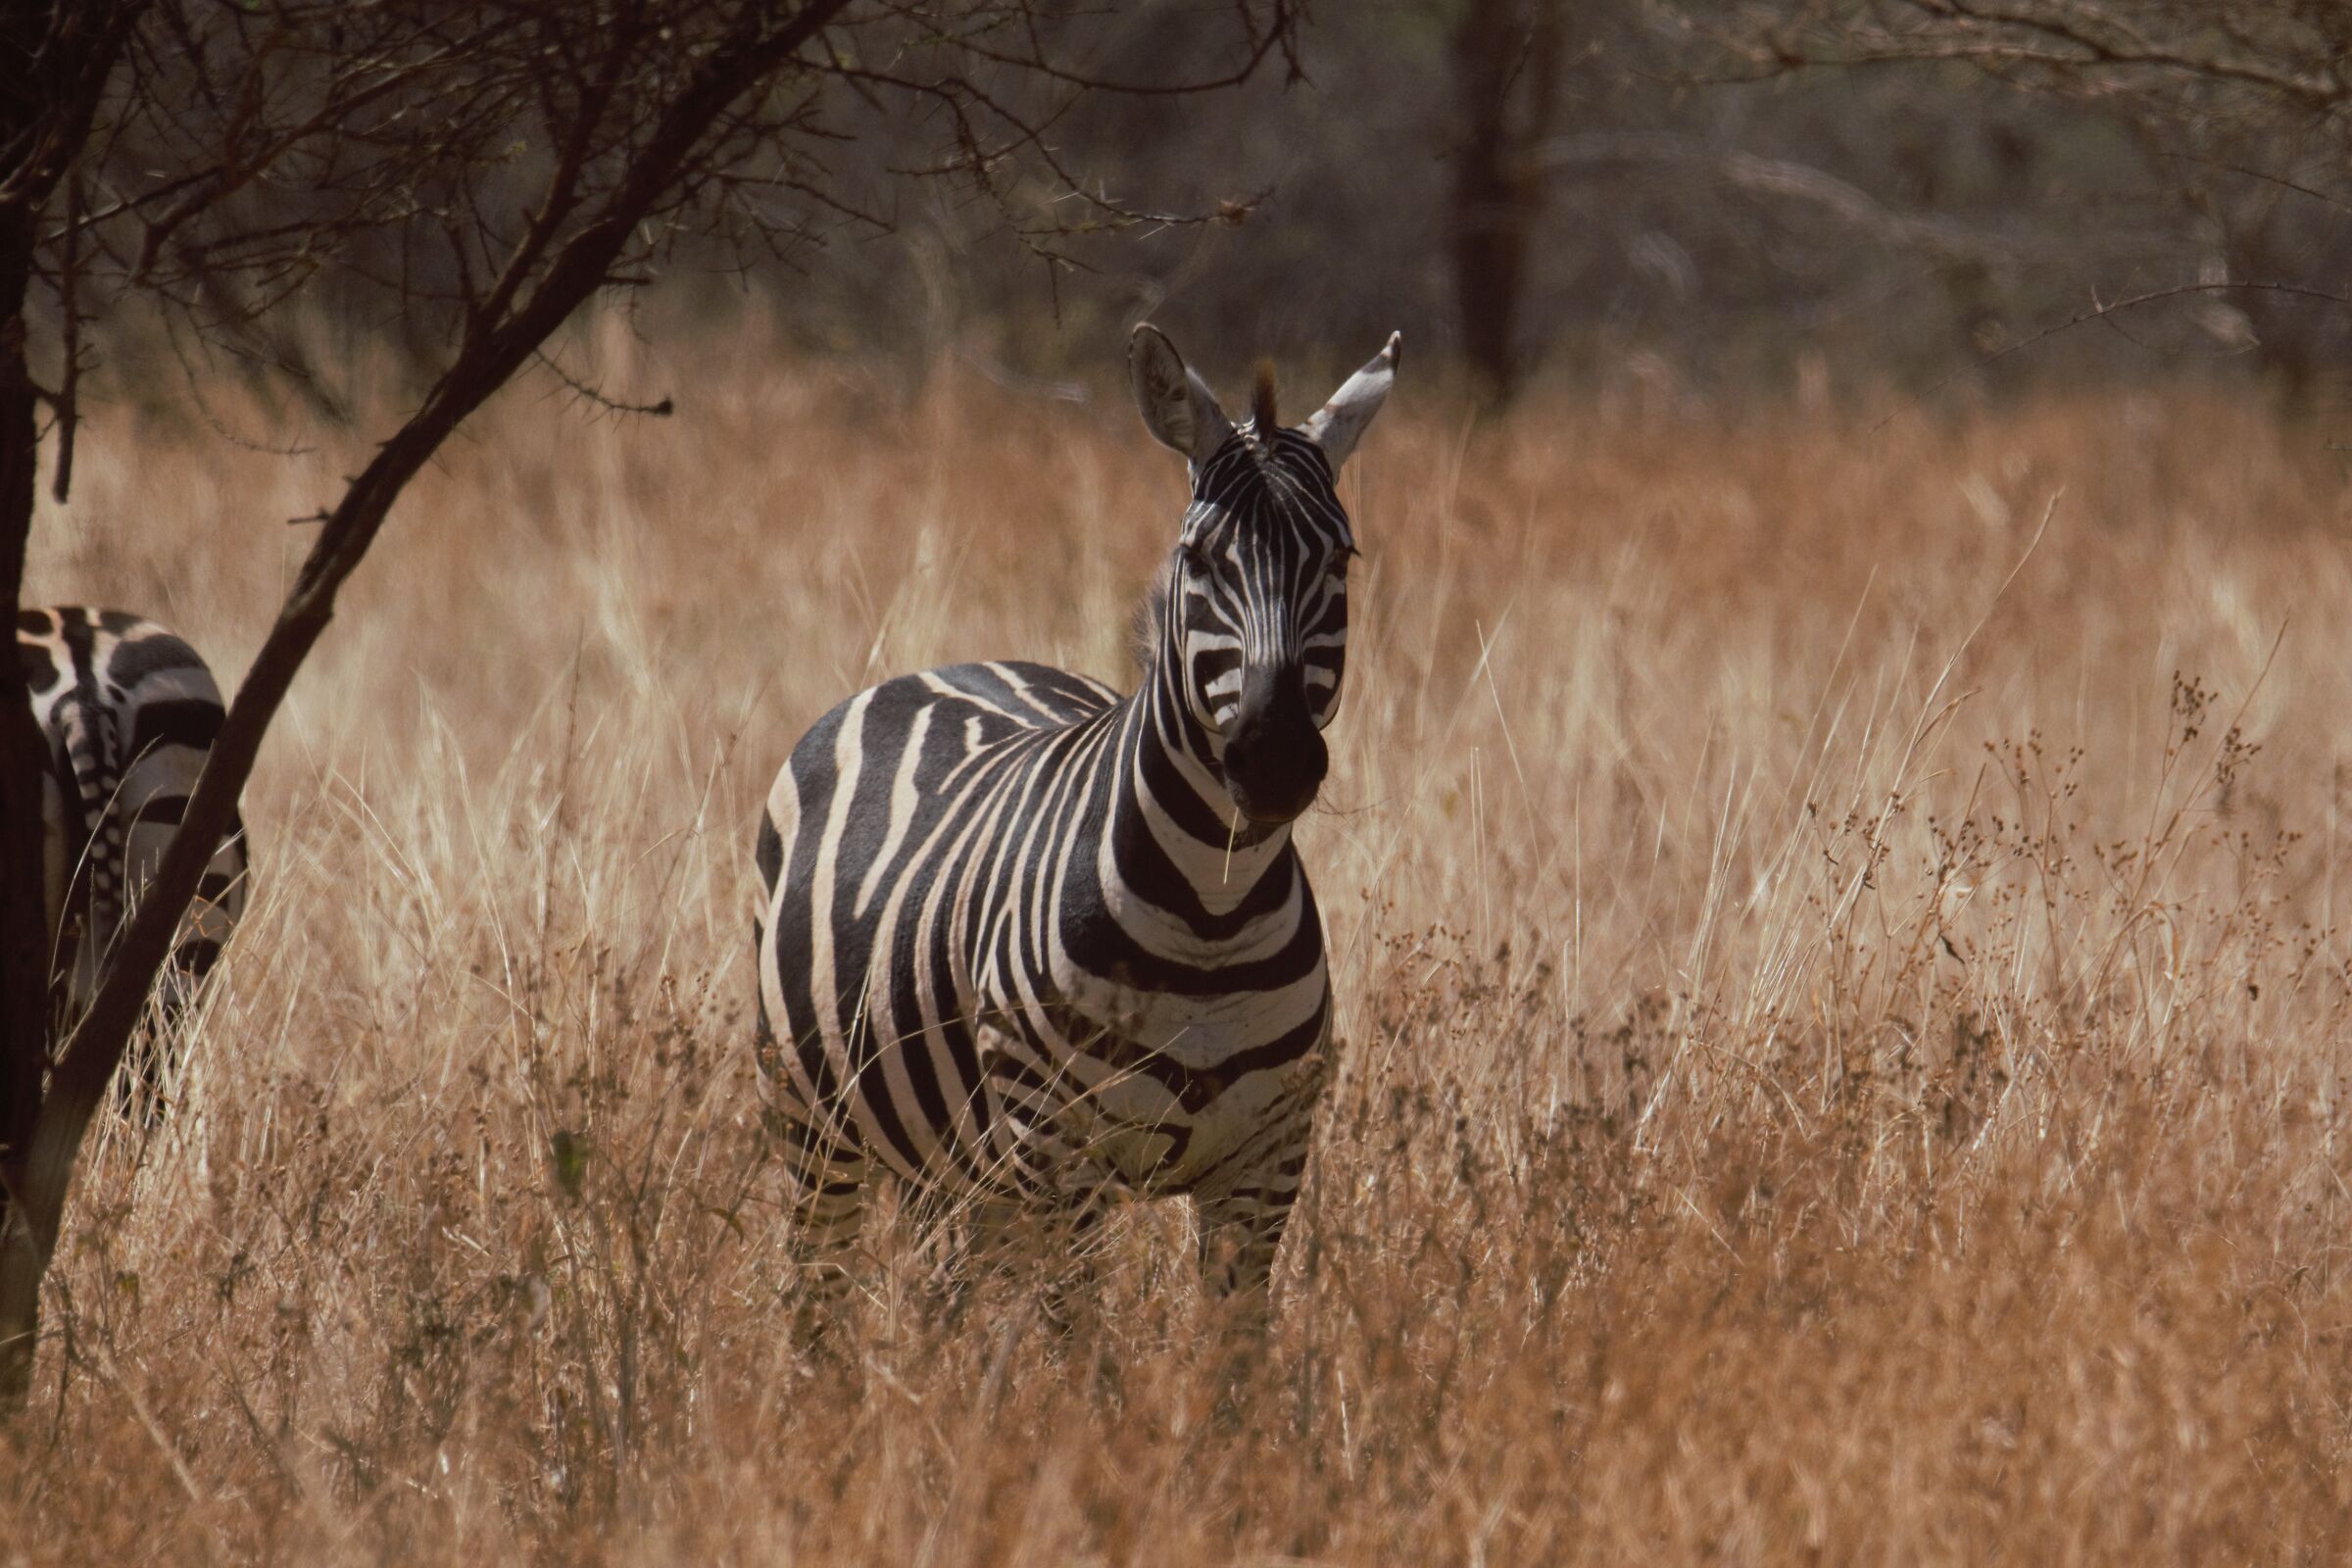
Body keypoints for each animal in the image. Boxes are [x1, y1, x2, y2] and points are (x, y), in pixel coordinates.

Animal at [755, 323, 1398, 1314]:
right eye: (1200, 560)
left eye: (1340, 561)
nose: (1274, 758)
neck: (1213, 915)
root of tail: (938, 666)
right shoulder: (1063, 1164)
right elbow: (1080, 1347)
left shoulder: (1265, 1168)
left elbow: (1232, 1353)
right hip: (816, 1126)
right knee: (815, 1292)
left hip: (961, 1171)